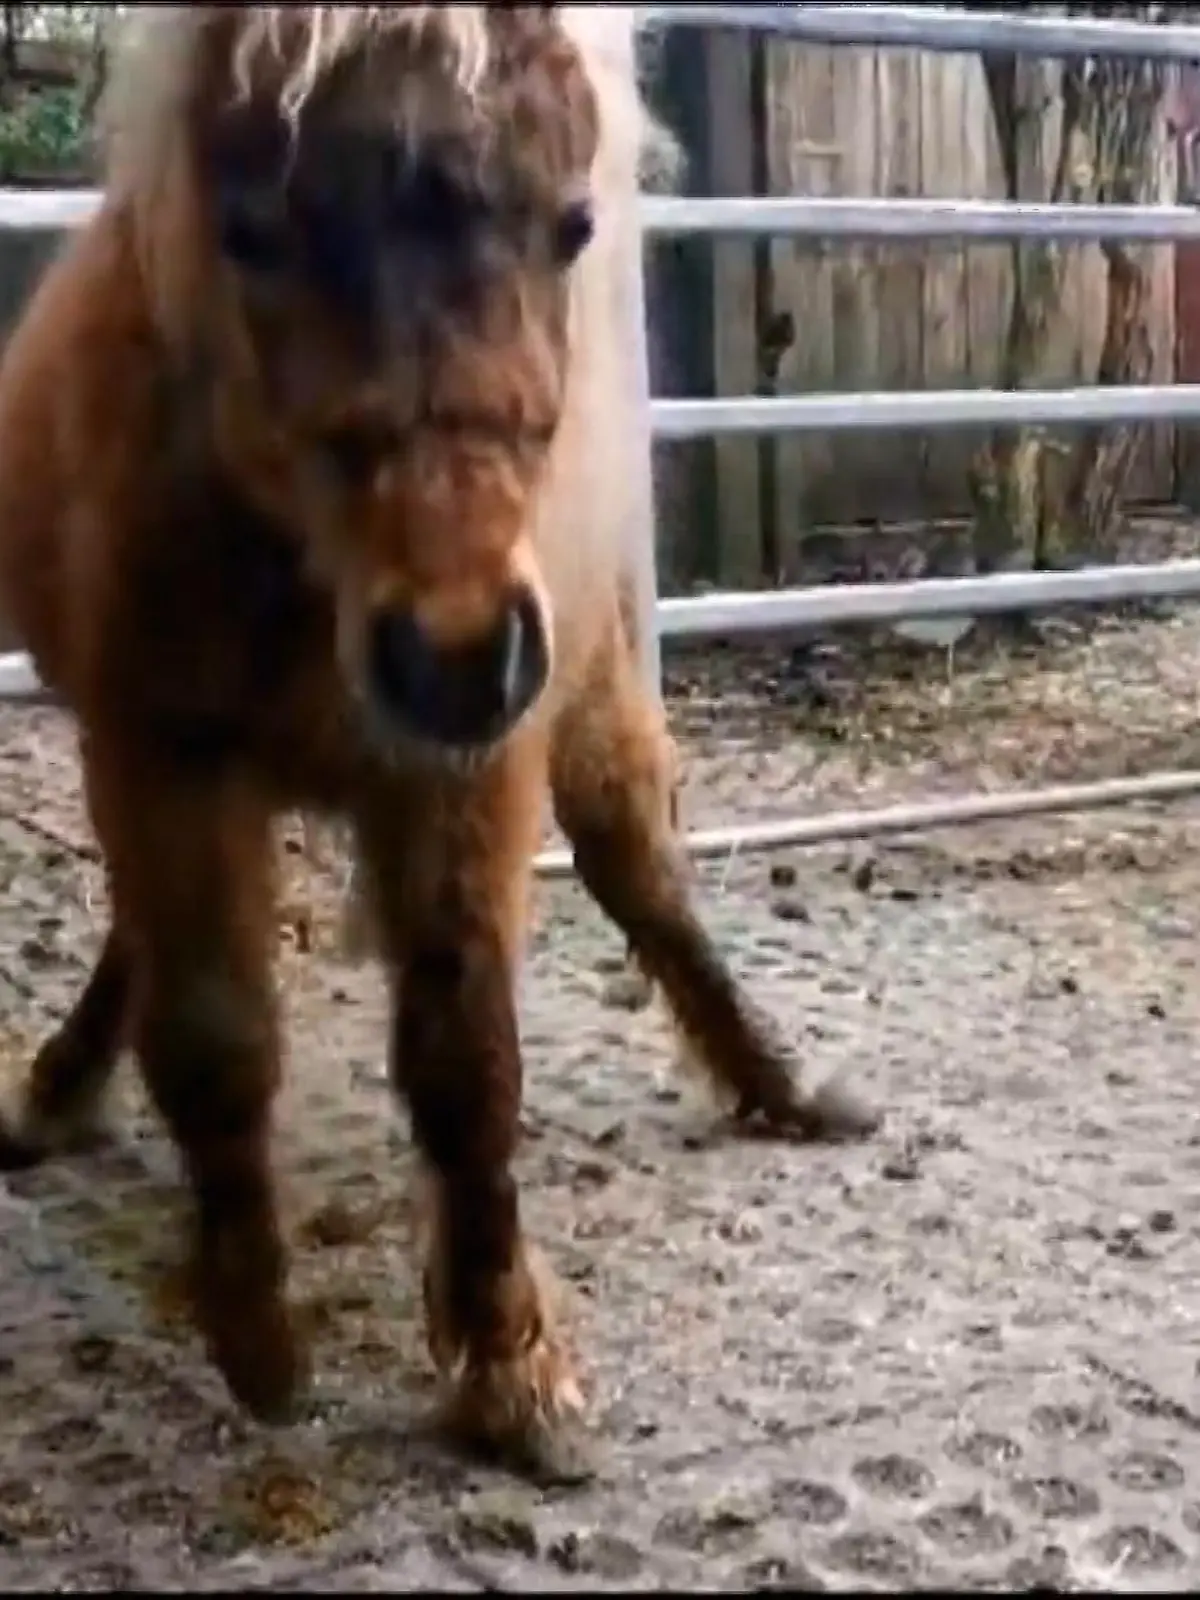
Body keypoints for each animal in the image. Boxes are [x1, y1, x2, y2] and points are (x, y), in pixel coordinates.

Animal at [0, 5, 878, 1482]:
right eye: (250, 229)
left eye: (573, 223)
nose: (457, 651)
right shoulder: (162, 755)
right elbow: (212, 1029)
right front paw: (258, 1337)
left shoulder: (468, 776)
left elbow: (469, 1057)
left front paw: (512, 1372)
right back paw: (59, 1091)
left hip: (592, 705)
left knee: (646, 877)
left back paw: (782, 1082)